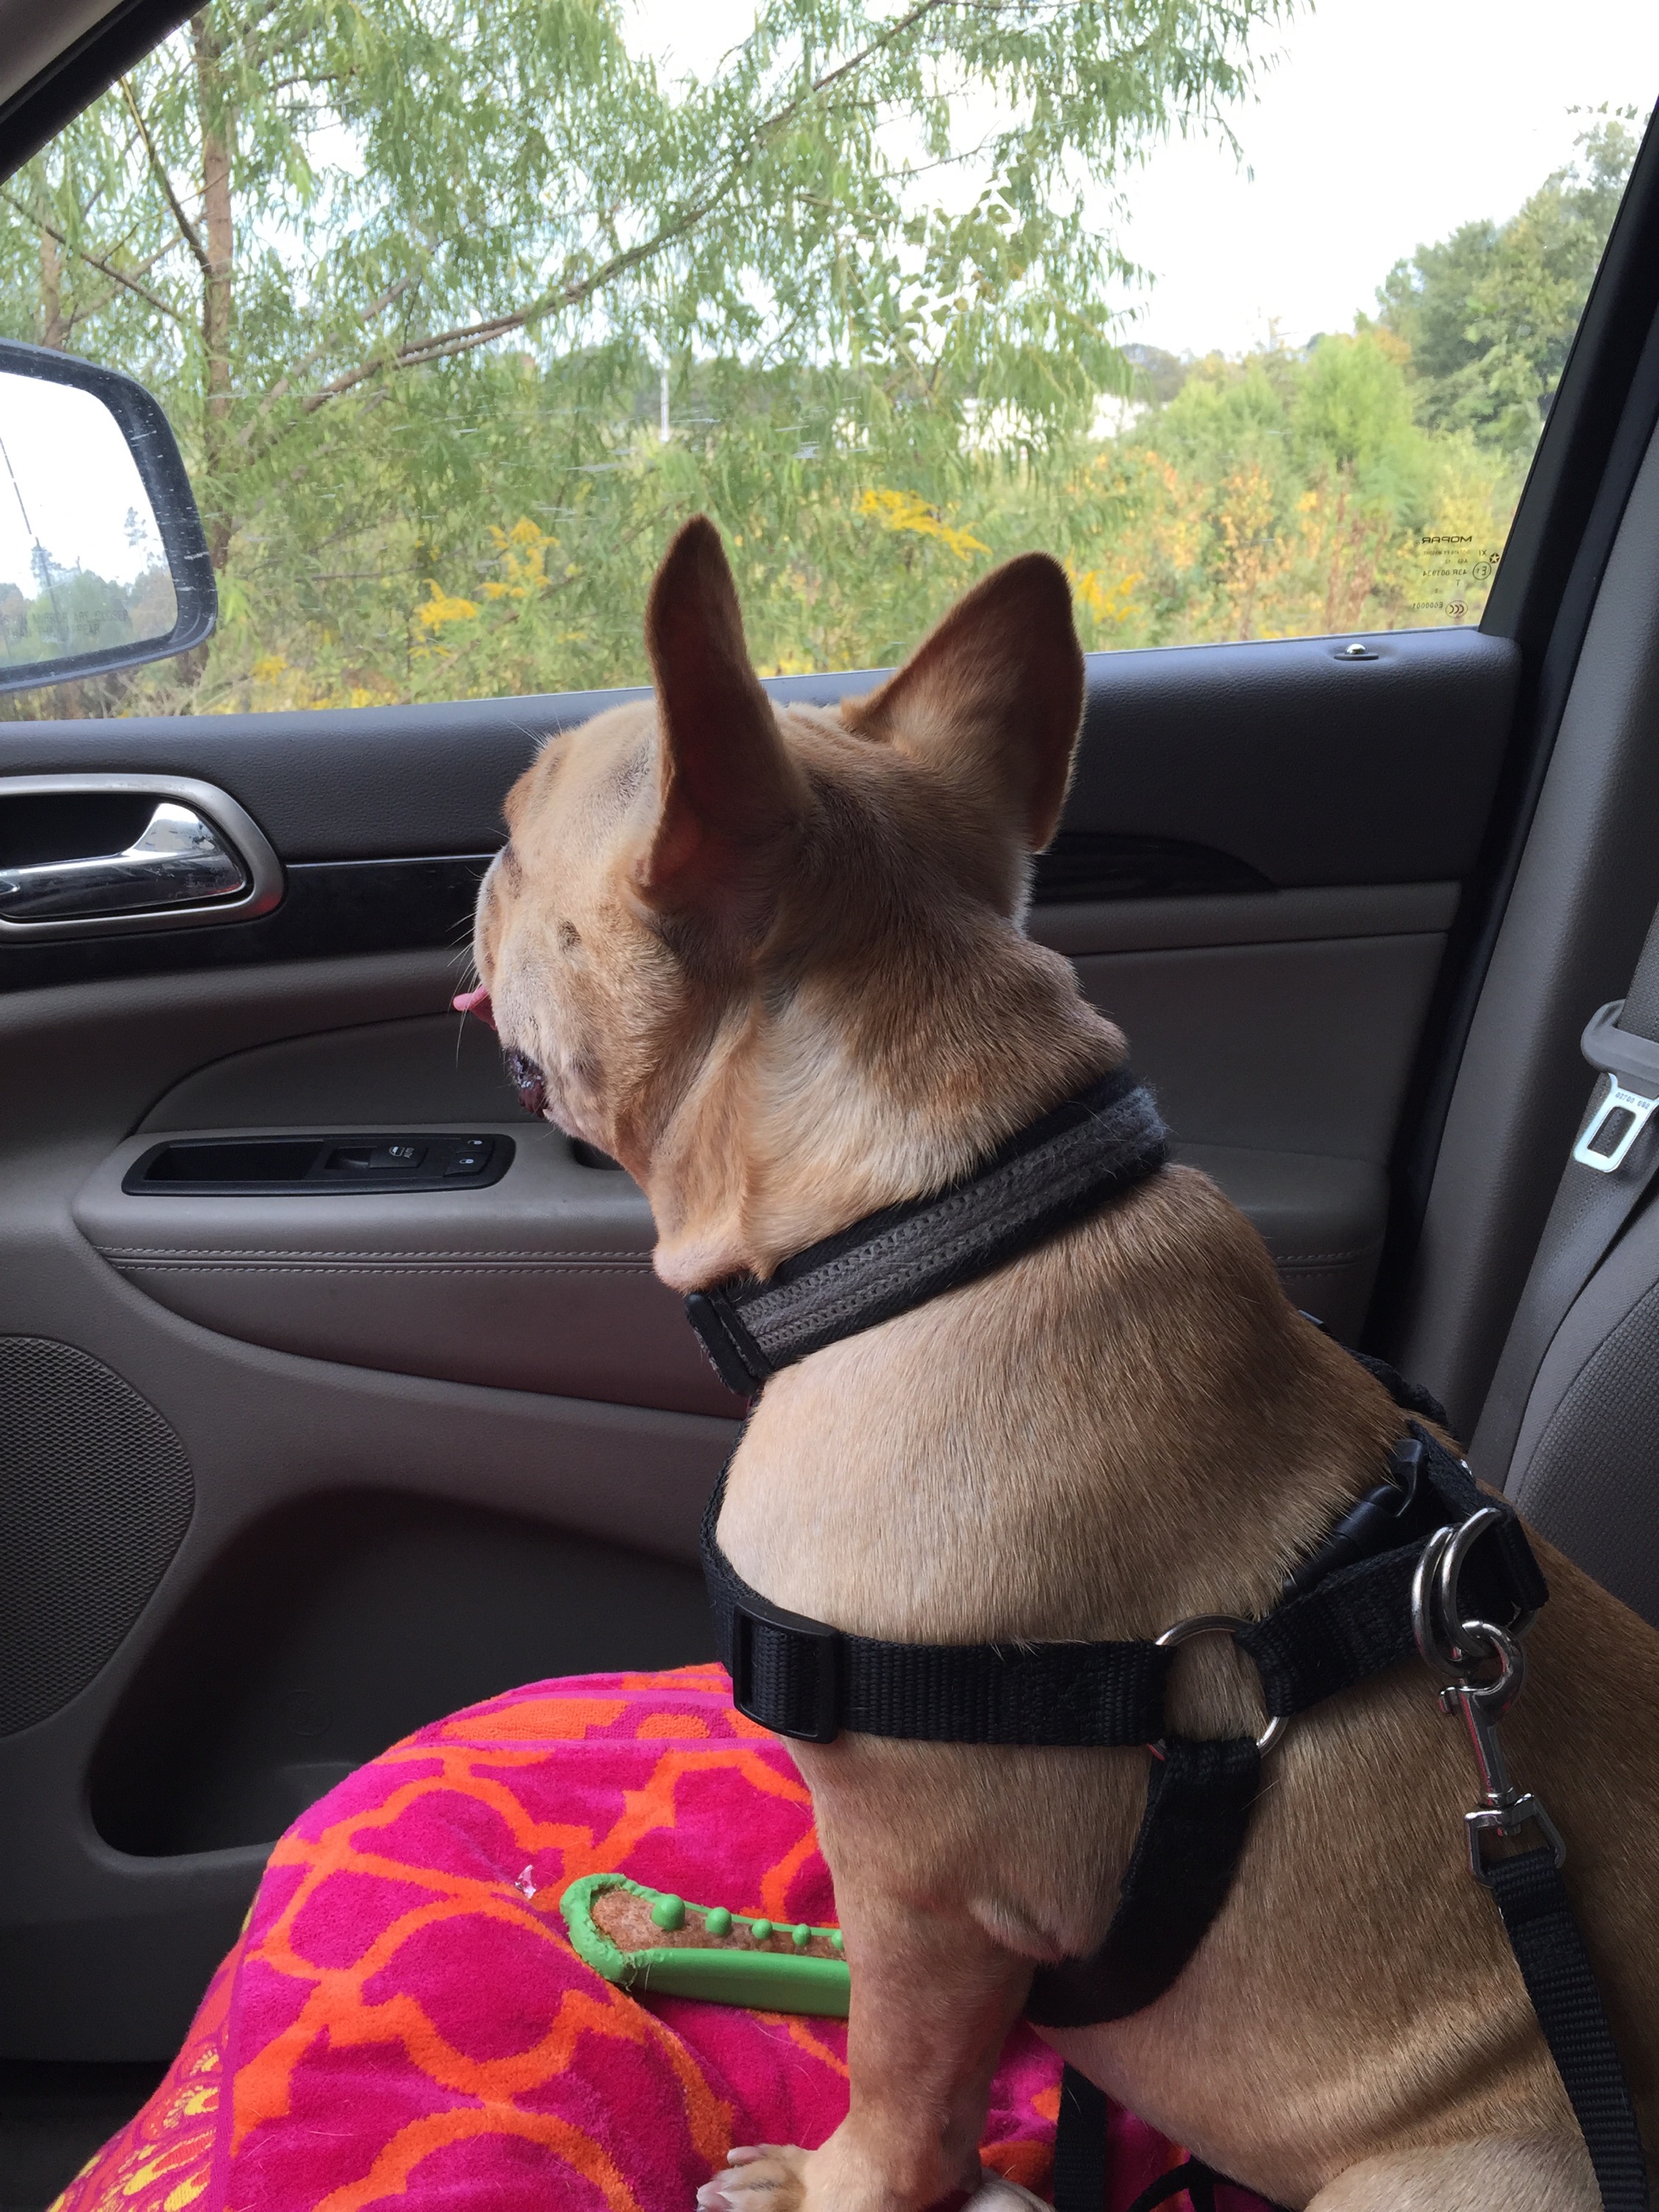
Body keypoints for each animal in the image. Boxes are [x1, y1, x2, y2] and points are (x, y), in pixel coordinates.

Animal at [466, 515, 1659, 2210]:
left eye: (516, 839)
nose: (476, 872)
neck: (950, 1218)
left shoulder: (924, 1895)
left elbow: (903, 2093)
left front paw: (839, 2184)